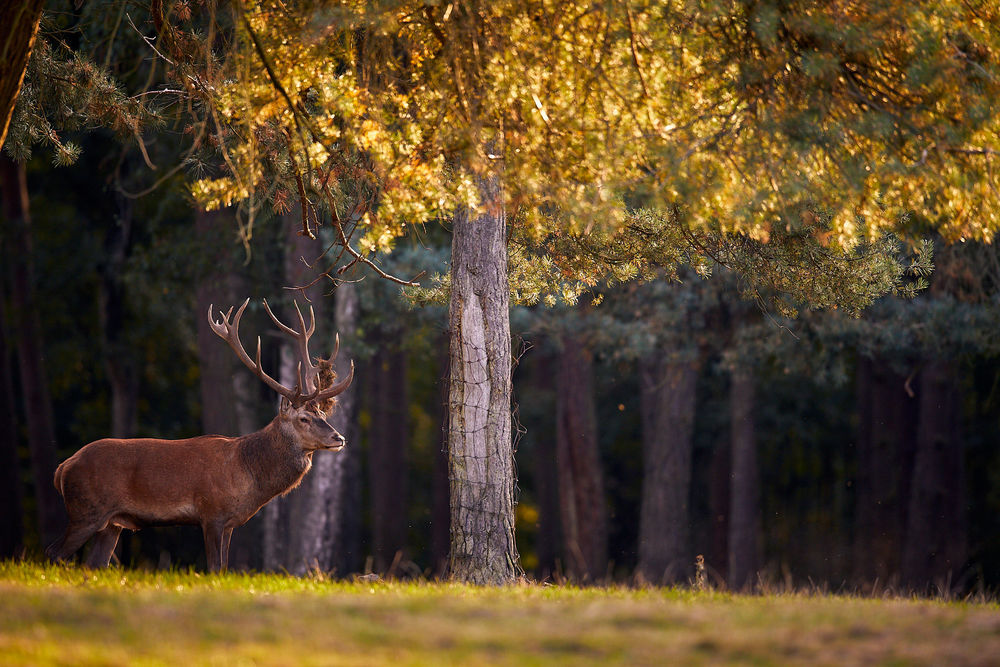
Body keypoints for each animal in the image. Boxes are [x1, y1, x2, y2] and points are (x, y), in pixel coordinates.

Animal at [45, 297, 354, 572]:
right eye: (304, 418)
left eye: (323, 414)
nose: (339, 438)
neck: (248, 474)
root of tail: (63, 468)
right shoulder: (211, 513)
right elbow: (214, 567)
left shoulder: (229, 523)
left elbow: (225, 568)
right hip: (86, 510)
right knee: (53, 552)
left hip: (110, 523)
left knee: (94, 563)